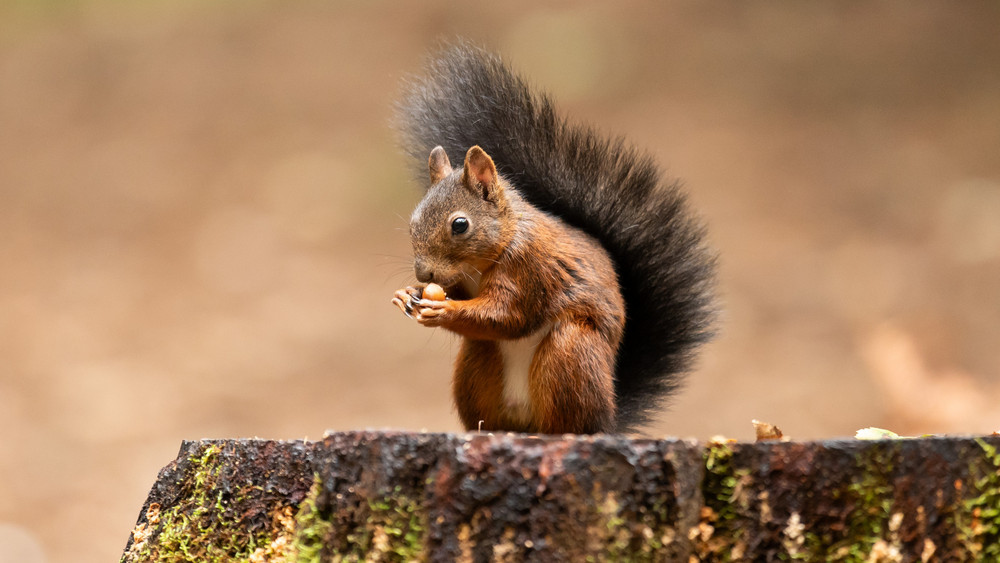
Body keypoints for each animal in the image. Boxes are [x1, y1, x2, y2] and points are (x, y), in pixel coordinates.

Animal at [392, 43, 720, 436]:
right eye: (414, 218)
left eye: (460, 225)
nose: (423, 274)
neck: (489, 255)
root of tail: (608, 419)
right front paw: (407, 295)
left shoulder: (529, 269)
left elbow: (507, 316)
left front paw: (444, 309)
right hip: (478, 361)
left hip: (570, 353)